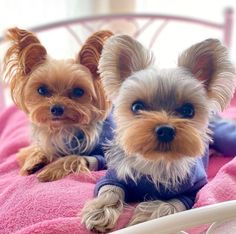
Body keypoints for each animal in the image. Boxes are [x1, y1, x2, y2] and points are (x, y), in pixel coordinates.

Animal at [3, 27, 114, 183]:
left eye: (78, 91)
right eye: (41, 90)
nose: (56, 108)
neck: (65, 129)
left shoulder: (106, 154)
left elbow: (74, 157)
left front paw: (50, 170)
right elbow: (32, 150)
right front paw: (32, 162)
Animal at [81, 35, 236, 232]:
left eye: (188, 110)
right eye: (136, 106)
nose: (165, 130)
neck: (156, 161)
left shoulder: (192, 192)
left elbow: (169, 206)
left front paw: (143, 219)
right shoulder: (113, 176)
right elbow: (110, 190)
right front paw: (99, 212)